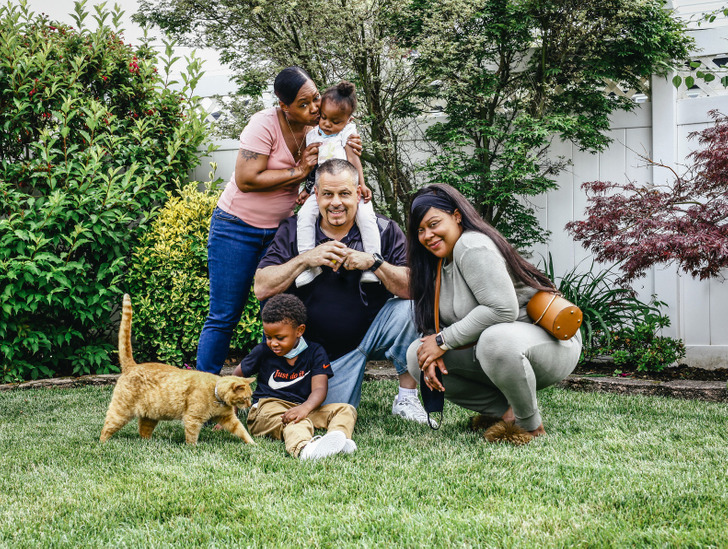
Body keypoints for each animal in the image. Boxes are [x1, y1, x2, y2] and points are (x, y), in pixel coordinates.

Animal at [98, 296, 255, 446]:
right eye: (245, 398)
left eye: (250, 397)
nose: (249, 405)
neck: (215, 393)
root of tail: (132, 365)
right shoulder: (192, 419)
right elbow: (191, 437)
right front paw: (193, 448)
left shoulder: (228, 419)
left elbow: (242, 431)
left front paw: (253, 444)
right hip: (121, 412)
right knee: (107, 428)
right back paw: (102, 442)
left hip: (150, 416)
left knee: (143, 432)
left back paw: (149, 443)